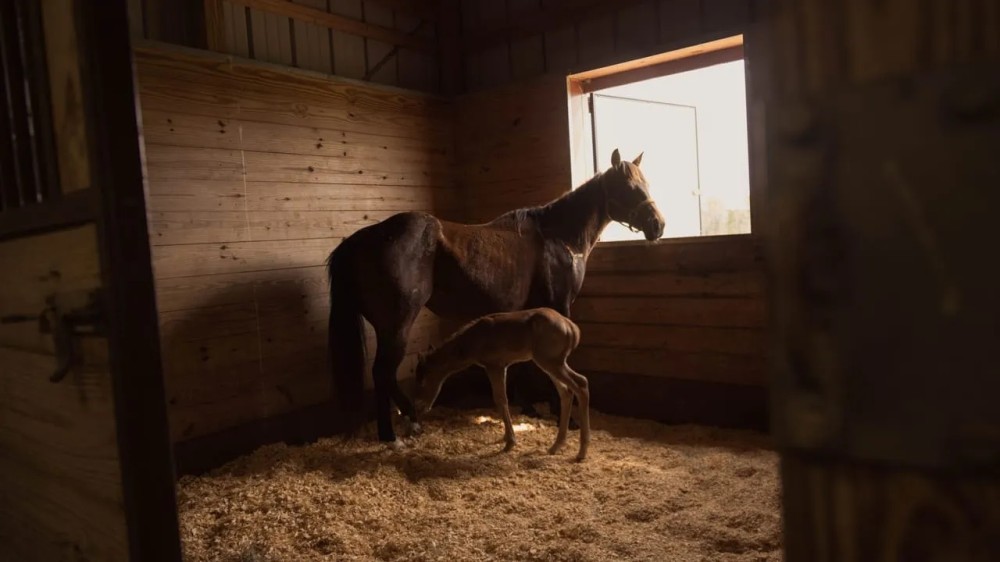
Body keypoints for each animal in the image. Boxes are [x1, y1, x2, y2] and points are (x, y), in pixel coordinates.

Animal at [326, 148, 664, 445]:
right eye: (630, 187)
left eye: (646, 183)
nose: (658, 225)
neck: (557, 237)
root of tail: (361, 239)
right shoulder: (558, 306)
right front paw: (564, 416)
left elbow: (525, 363)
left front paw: (528, 407)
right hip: (397, 325)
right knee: (382, 372)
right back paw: (397, 430)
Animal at [413, 307, 592, 461]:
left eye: (422, 379)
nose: (420, 406)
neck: (471, 343)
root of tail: (573, 329)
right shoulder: (503, 365)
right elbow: (502, 399)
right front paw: (506, 437)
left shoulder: (494, 365)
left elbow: (500, 399)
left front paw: (509, 443)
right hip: (552, 362)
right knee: (566, 391)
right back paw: (556, 446)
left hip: (551, 361)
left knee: (581, 383)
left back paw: (581, 452)